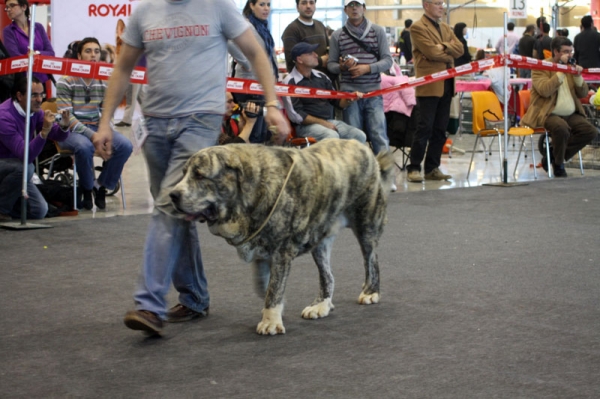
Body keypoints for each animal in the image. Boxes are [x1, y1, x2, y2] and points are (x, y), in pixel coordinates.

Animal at [170, 139, 394, 336]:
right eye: (183, 174)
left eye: (199, 176)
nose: (173, 194)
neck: (250, 193)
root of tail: (364, 147)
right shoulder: (262, 252)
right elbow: (264, 284)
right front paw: (274, 308)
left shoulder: (281, 252)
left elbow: (274, 288)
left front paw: (270, 321)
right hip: (320, 242)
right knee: (327, 275)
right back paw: (321, 305)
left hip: (366, 225)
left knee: (371, 260)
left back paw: (370, 292)